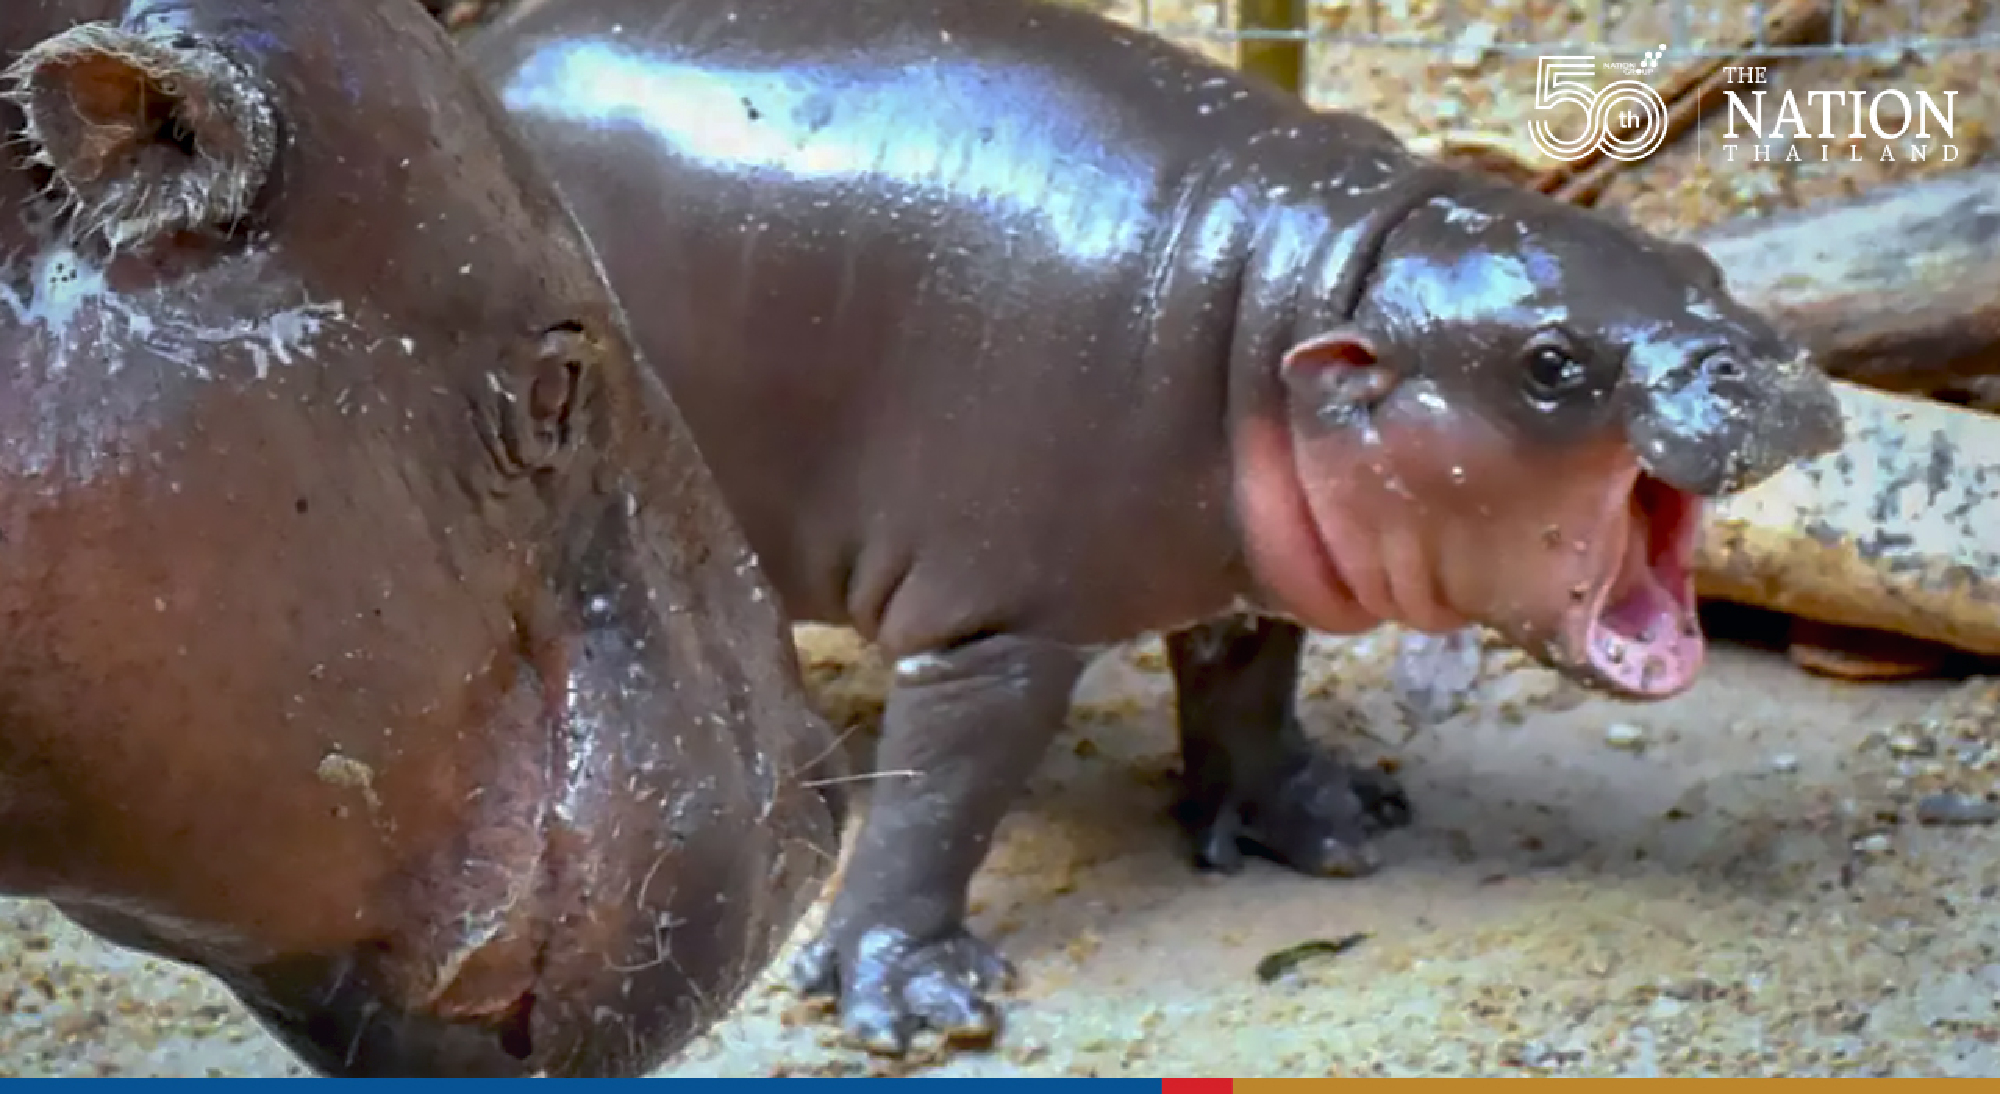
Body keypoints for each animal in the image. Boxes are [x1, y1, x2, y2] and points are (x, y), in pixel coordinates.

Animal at [466, 0, 1846, 1055]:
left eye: (1697, 268)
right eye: (1549, 364)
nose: (1745, 363)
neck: (1306, 289)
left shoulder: (1249, 574)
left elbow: (1248, 689)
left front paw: (1336, 820)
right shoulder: (995, 623)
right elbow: (939, 800)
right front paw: (918, 1004)